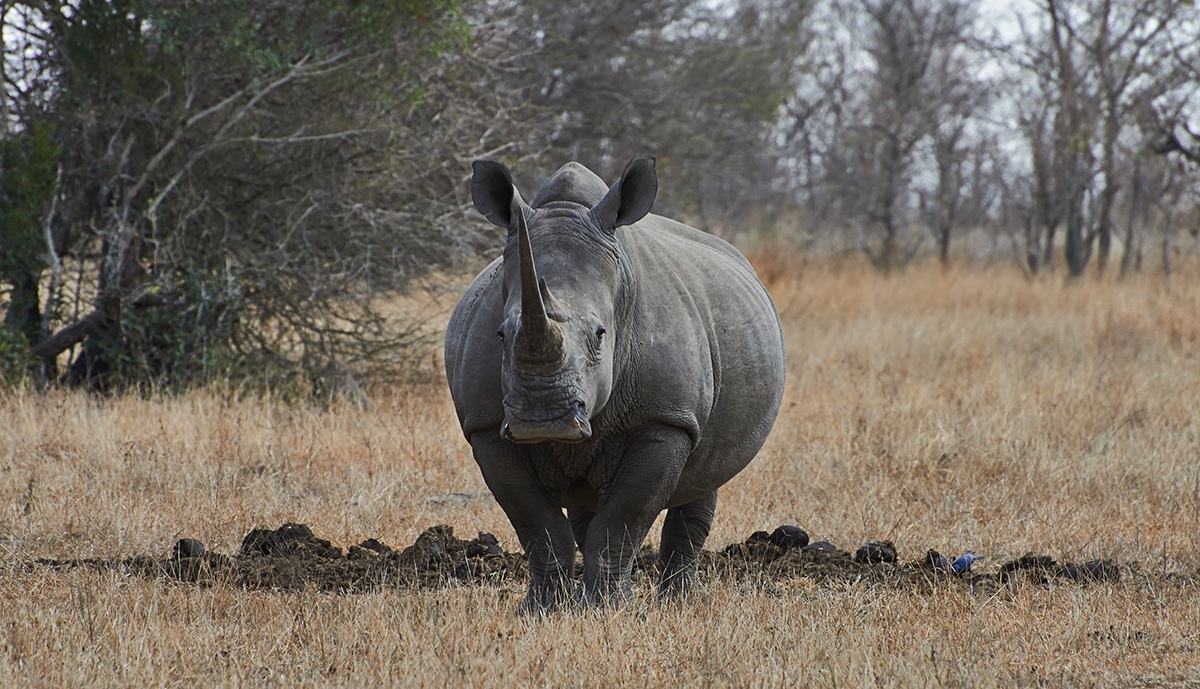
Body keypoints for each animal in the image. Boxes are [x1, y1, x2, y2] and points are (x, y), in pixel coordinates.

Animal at [444, 156, 785, 613]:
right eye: (500, 335)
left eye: (601, 335)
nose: (541, 419)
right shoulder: (486, 426)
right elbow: (538, 527)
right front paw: (542, 611)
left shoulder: (666, 418)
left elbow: (622, 521)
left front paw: (609, 610)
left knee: (703, 478)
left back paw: (681, 602)